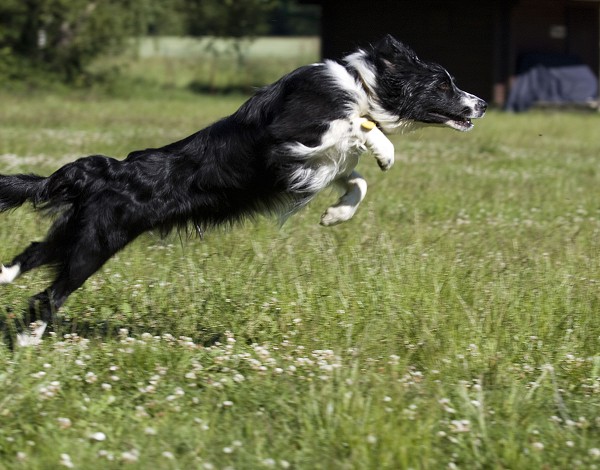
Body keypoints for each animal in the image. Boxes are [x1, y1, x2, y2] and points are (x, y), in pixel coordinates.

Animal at [0, 35, 486, 344]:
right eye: (443, 83)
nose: (481, 104)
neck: (361, 83)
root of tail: (104, 171)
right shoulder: (285, 138)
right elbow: (356, 125)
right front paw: (384, 150)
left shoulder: (309, 167)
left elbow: (356, 179)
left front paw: (335, 215)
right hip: (96, 243)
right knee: (48, 294)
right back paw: (28, 344)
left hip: (85, 233)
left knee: (34, 253)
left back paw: (5, 285)